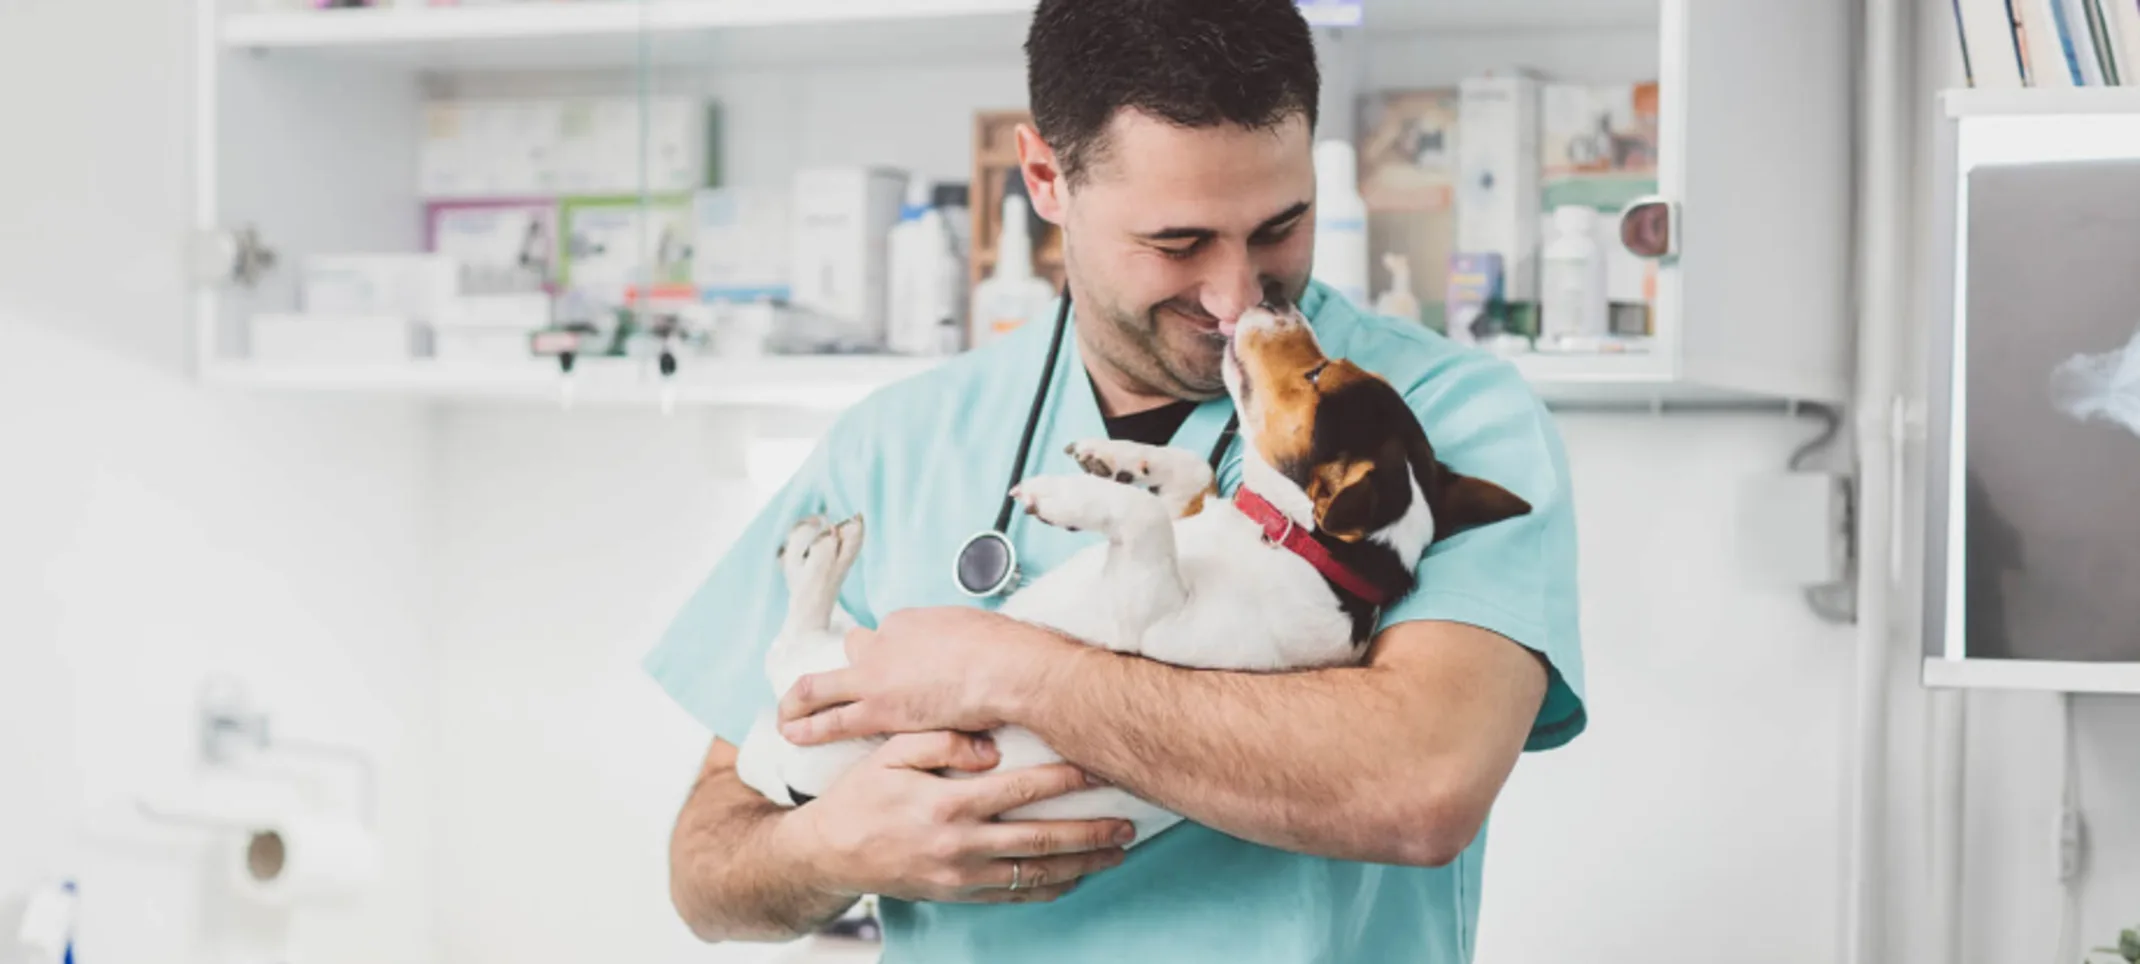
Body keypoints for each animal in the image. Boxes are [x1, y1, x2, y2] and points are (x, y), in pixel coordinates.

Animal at [740, 302, 1540, 844]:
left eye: (1315, 375)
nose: (1276, 297)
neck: (1290, 545)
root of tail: (773, 772)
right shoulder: (1190, 517)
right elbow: (1185, 476)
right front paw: (1118, 457)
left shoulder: (1153, 612)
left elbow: (1144, 520)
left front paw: (1065, 494)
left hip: (829, 685)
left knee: (788, 645)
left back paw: (822, 550)